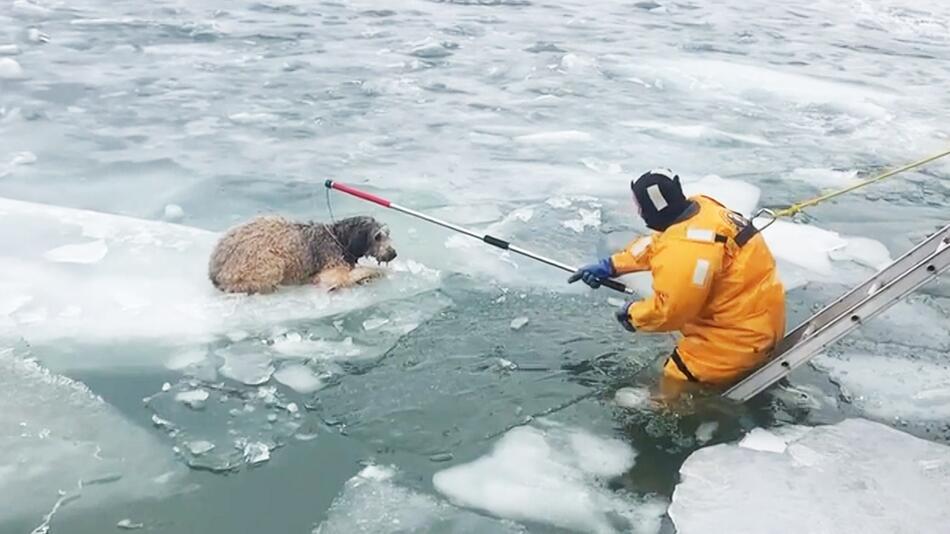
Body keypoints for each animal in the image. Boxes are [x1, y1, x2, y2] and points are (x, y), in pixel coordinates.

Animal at [209, 216, 398, 296]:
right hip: (268, 264)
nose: (393, 253)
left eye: (387, 234)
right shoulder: (330, 272)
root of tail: (214, 271)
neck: (339, 238)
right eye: (378, 236)